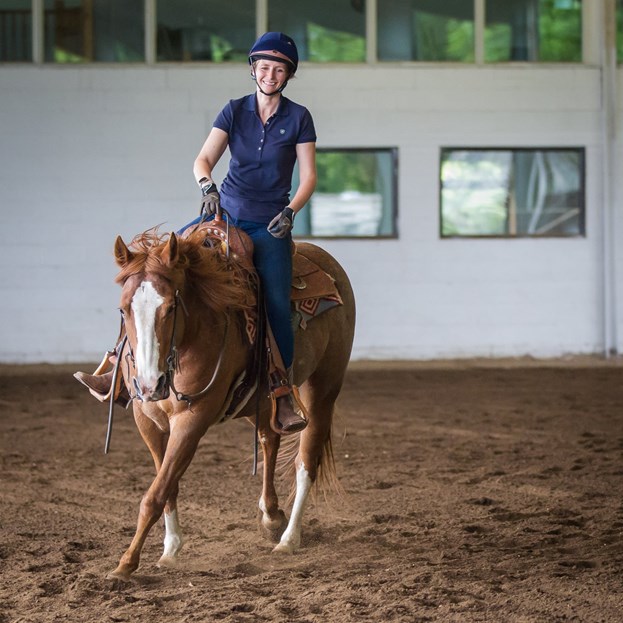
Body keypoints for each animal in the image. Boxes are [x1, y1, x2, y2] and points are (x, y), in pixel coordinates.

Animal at [105, 227, 354, 584]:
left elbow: (155, 493)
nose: (150, 383)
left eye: (171, 307)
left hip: (323, 389)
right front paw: (170, 549)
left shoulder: (192, 421)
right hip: (259, 401)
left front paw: (126, 564)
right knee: (269, 438)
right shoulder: (147, 420)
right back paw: (271, 515)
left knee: (307, 462)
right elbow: (167, 485)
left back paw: (288, 539)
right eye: (124, 309)